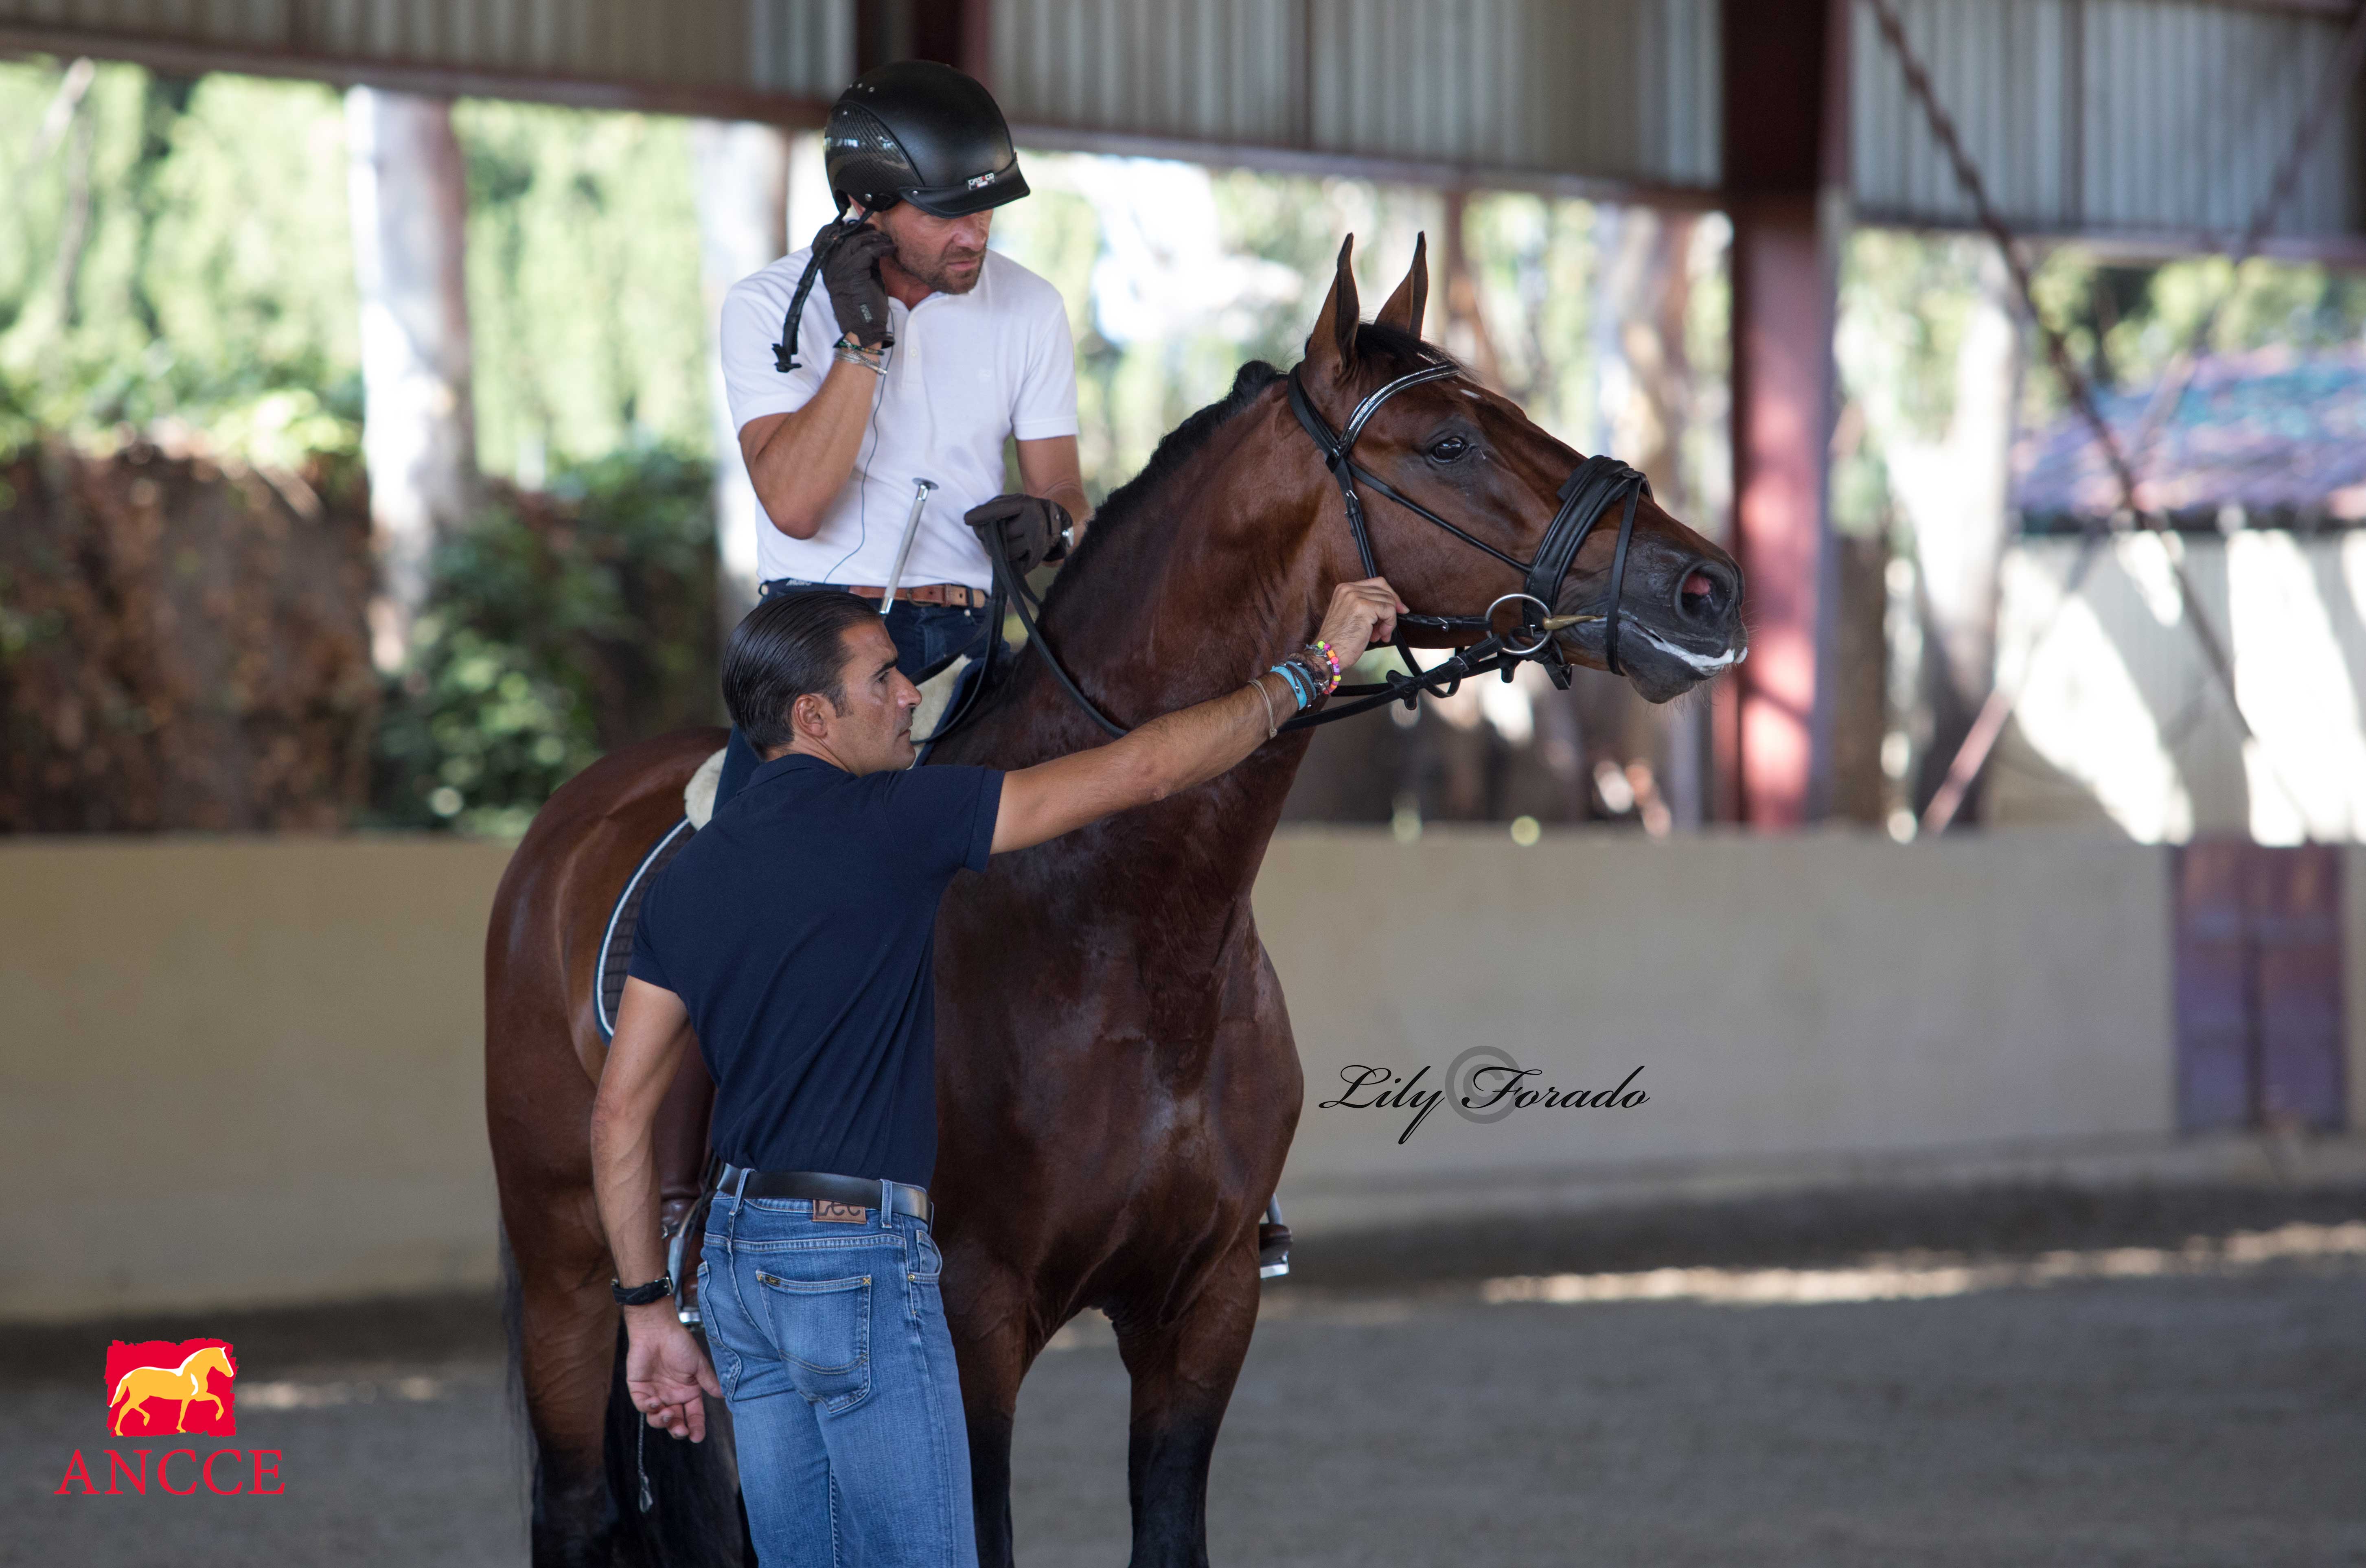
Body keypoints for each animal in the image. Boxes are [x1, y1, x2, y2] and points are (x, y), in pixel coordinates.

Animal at [485, 236, 1741, 1568]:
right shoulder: (968, 1319)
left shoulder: (1203, 1307)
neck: (1120, 921)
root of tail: (567, 824)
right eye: (1450, 444)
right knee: (576, 1503)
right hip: (568, 1272)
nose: (1706, 590)